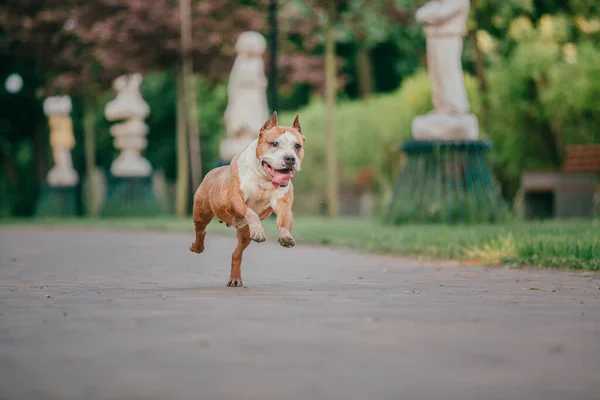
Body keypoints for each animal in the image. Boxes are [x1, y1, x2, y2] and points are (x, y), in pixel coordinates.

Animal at [190, 111, 304, 288]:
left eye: (297, 146)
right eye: (274, 143)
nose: (290, 158)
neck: (264, 178)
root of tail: (213, 171)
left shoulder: (283, 206)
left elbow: (284, 221)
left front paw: (286, 236)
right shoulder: (236, 200)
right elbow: (251, 212)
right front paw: (258, 230)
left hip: (244, 234)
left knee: (236, 253)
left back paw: (235, 278)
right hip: (201, 213)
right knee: (200, 230)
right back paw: (197, 247)